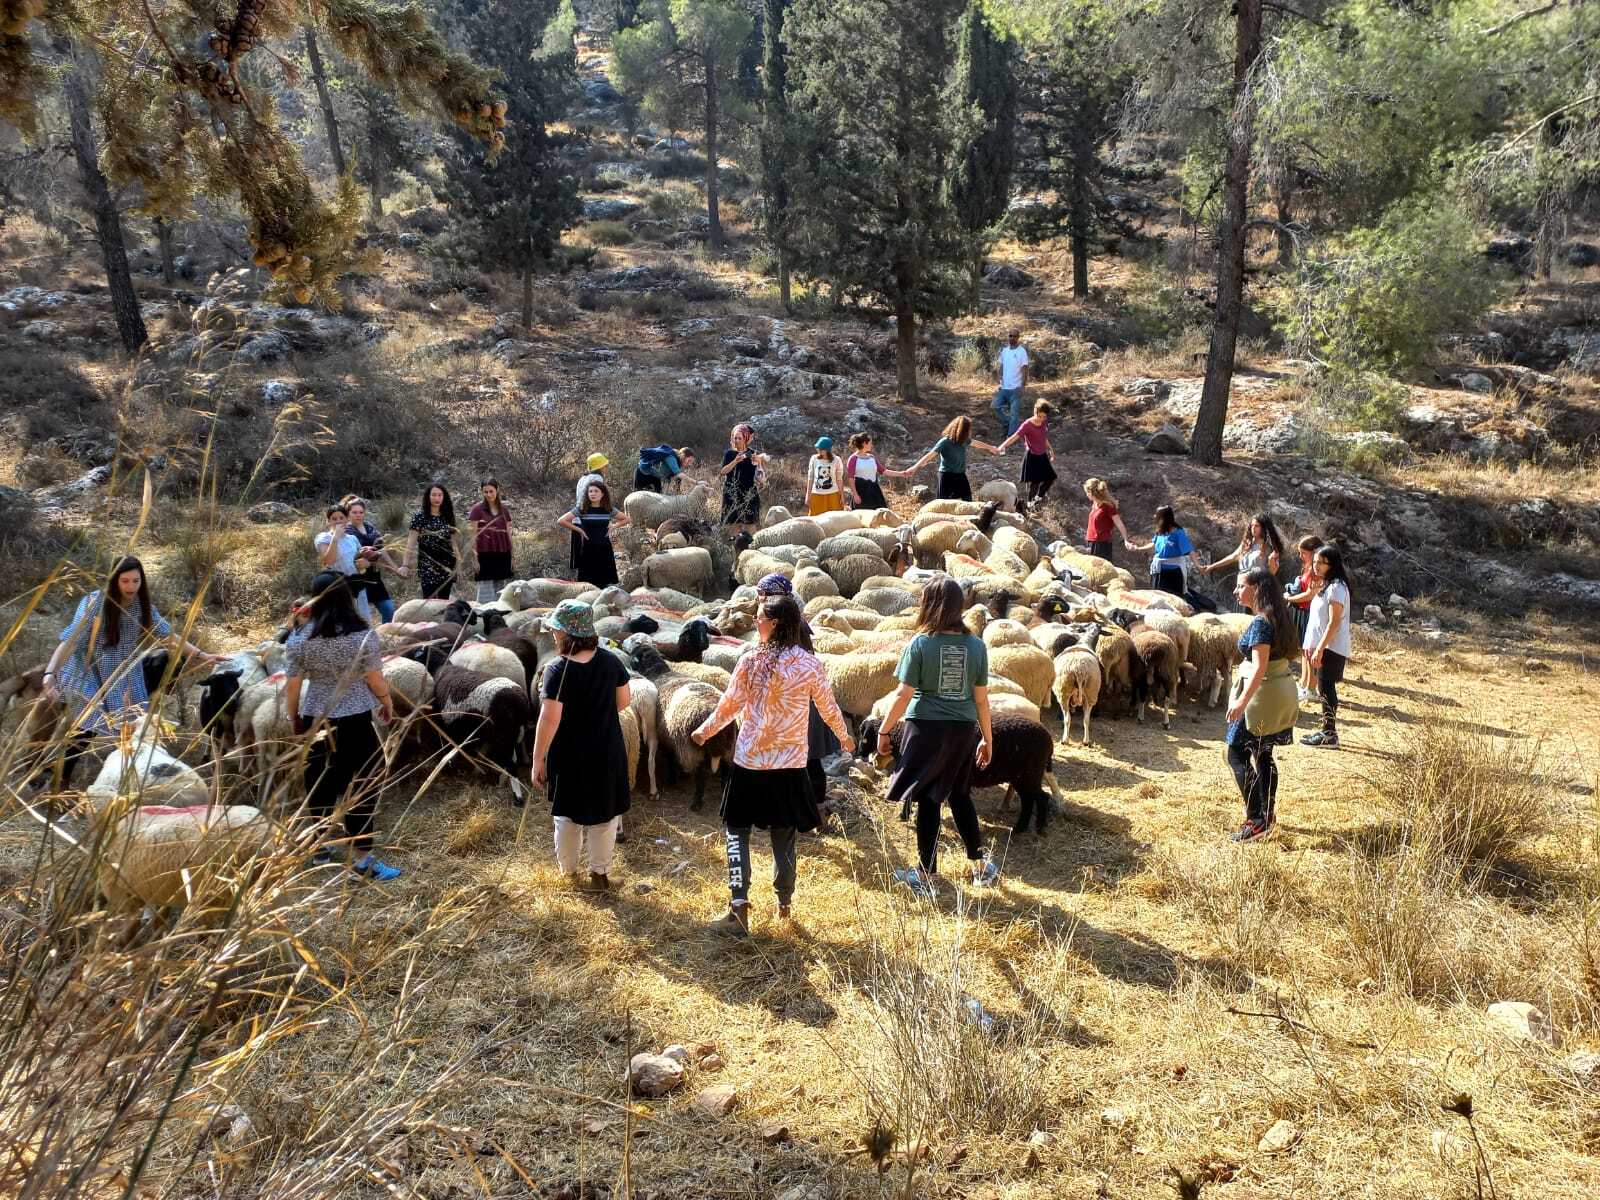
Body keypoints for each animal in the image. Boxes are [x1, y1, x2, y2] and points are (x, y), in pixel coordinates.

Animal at [432, 662, 537, 803]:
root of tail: (521, 703)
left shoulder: (449, 726)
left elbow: (450, 749)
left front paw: (449, 767)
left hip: (504, 733)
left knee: (511, 763)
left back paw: (517, 797)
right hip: (513, 732)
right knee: (513, 759)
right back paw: (503, 781)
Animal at [627, 643, 732, 812]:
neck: (660, 672)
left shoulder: (668, 737)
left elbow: (670, 758)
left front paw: (672, 778)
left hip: (692, 748)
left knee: (701, 774)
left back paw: (696, 803)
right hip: (728, 746)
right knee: (726, 769)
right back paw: (723, 792)